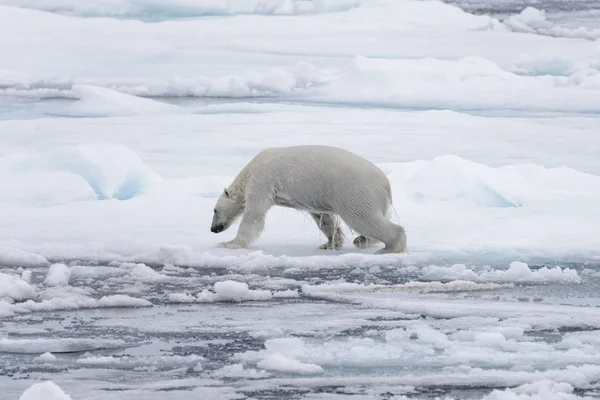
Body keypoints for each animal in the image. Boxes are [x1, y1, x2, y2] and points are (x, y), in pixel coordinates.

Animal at [210, 145, 408, 255]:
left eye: (215, 210)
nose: (213, 229)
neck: (249, 171)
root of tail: (385, 182)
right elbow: (323, 218)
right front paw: (330, 242)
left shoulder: (262, 180)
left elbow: (253, 217)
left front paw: (228, 244)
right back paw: (362, 240)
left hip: (355, 192)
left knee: (363, 218)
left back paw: (387, 248)